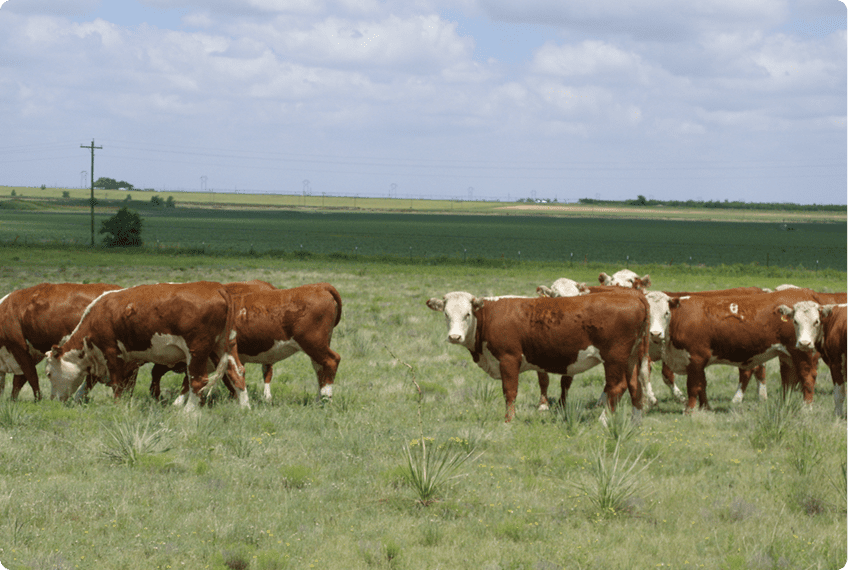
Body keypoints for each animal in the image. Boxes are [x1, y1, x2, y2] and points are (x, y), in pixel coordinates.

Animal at [45, 281, 247, 413]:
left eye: (48, 373)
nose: (53, 401)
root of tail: (216, 287)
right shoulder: (127, 360)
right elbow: (97, 384)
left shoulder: (112, 352)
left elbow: (117, 384)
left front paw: (118, 407)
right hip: (225, 345)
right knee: (237, 372)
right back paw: (244, 407)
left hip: (197, 350)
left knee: (198, 380)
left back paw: (187, 412)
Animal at [426, 290, 648, 422]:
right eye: (446, 314)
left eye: (467, 314)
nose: (454, 337)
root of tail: (632, 295)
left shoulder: (509, 359)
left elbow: (510, 392)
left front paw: (508, 420)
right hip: (631, 358)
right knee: (635, 387)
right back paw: (635, 422)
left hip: (614, 358)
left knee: (617, 387)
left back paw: (603, 421)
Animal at [655, 288, 822, 413]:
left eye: (666, 313)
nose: (654, 333)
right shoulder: (698, 362)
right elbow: (702, 384)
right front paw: (706, 408)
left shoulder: (695, 358)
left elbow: (693, 385)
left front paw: (689, 410)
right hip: (787, 356)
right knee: (789, 379)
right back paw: (784, 404)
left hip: (802, 352)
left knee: (807, 377)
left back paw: (807, 408)